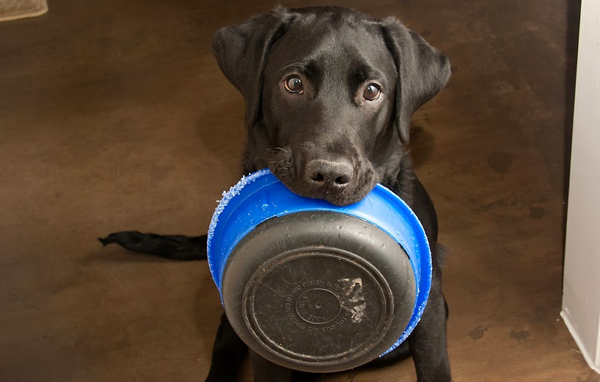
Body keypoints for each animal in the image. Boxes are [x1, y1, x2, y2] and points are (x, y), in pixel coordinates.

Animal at [101, 5, 450, 382]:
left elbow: (434, 365)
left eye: (372, 91)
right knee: (225, 342)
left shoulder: (431, 308)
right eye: (294, 84)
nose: (329, 175)